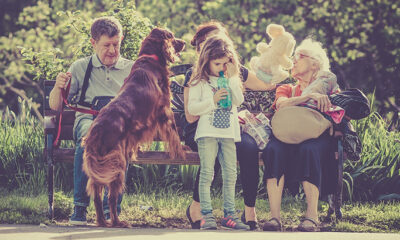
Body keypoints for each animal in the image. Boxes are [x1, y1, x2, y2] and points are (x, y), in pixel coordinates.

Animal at [82, 27, 188, 227]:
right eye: (171, 36)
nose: (185, 42)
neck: (150, 58)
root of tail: (95, 133)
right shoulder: (164, 109)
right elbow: (173, 132)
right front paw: (181, 150)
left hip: (102, 168)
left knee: (98, 196)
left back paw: (102, 221)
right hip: (116, 165)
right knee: (112, 197)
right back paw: (117, 222)